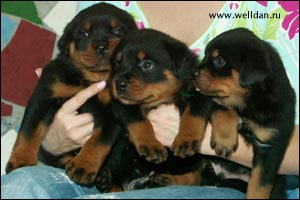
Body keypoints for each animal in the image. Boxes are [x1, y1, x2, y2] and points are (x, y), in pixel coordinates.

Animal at [5, 2, 137, 185]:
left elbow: (99, 140)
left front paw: (83, 166)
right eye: (84, 33)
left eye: (118, 30)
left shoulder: (114, 111)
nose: (101, 46)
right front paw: (21, 160)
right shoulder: (43, 97)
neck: (91, 79)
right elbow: (29, 131)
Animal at [192, 27, 296, 198]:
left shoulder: (271, 146)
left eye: (219, 60)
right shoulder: (215, 100)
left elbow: (260, 185)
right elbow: (224, 109)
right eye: (205, 55)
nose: (193, 73)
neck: (248, 102)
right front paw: (225, 140)